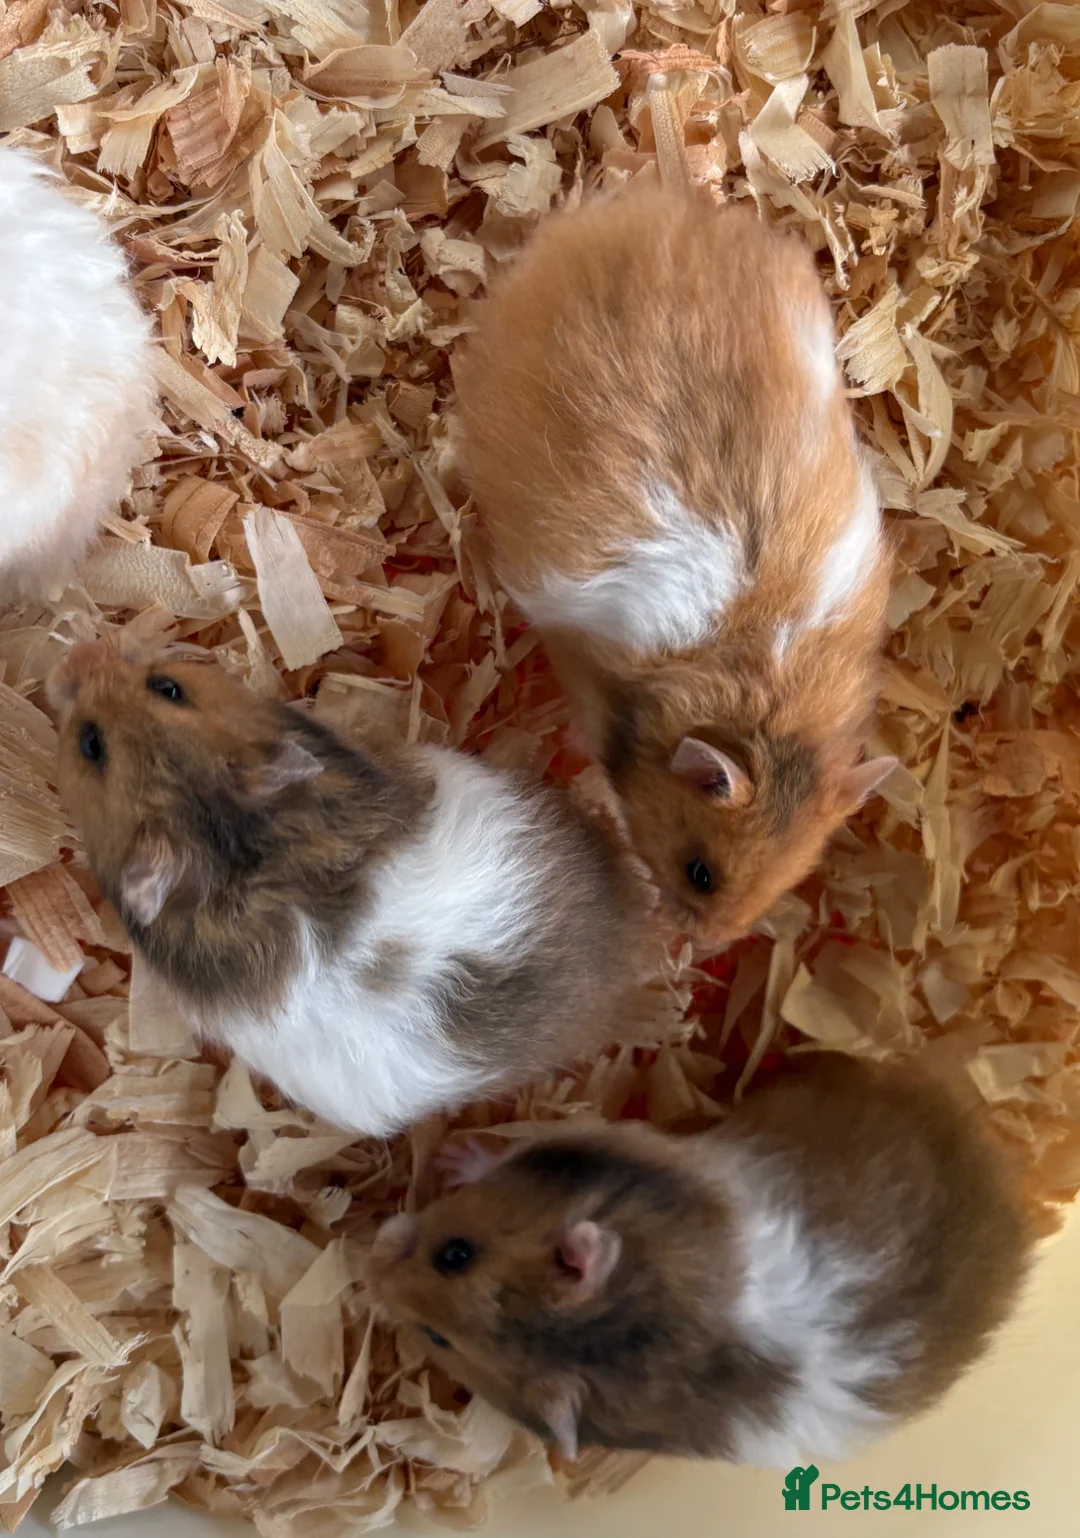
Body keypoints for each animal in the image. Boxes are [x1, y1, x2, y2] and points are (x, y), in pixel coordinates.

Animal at [370, 1055, 1032, 1465]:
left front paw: (452, 1152)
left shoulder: (603, 1131)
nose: (369, 1259)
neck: (636, 1330)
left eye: (455, 1254)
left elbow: (511, 1143)